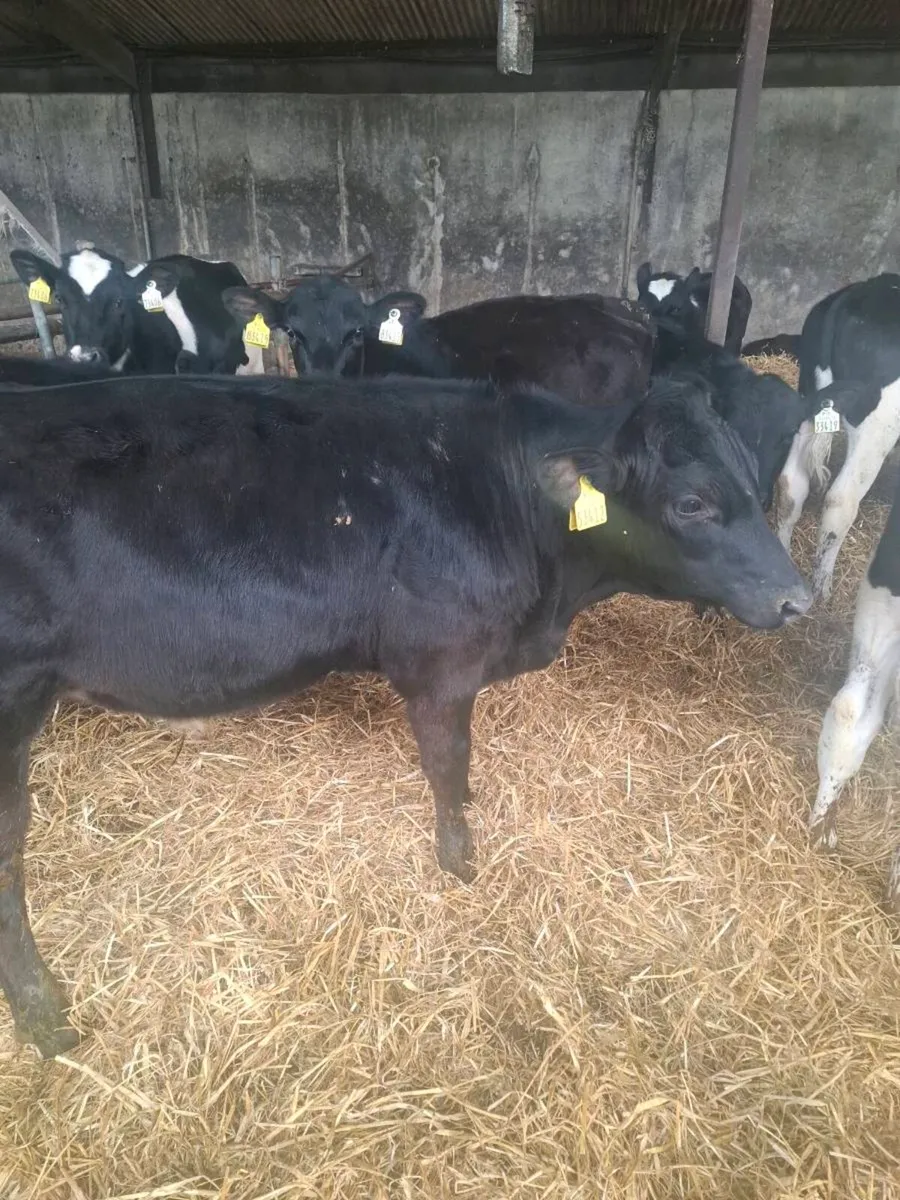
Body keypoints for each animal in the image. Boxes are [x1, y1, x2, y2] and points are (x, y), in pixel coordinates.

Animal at [0, 368, 808, 1057]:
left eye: (753, 478)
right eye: (692, 502)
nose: (798, 598)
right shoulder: (440, 665)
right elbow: (448, 765)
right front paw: (461, 861)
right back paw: (46, 1019)